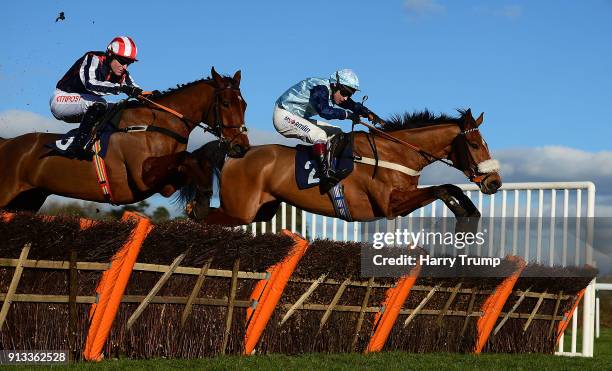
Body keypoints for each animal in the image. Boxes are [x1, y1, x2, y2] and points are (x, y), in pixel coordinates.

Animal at [0, 67, 249, 212]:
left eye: (244, 104)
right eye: (226, 103)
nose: (241, 147)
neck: (158, 123)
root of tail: (7, 143)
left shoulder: (163, 185)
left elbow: (188, 162)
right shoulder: (141, 176)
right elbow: (187, 157)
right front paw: (204, 192)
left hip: (28, 201)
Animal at [180, 108, 502, 227]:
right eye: (475, 145)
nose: (495, 182)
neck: (397, 152)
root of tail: (235, 152)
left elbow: (447, 187)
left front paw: (470, 211)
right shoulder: (389, 204)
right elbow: (441, 188)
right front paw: (464, 211)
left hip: (262, 210)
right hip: (240, 210)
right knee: (203, 215)